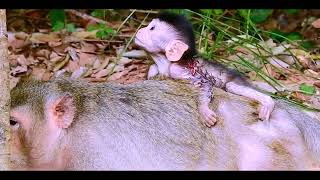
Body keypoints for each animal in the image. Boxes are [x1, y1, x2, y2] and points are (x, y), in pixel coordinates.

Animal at [134, 11, 274, 126]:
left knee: (231, 86)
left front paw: (203, 109)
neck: (165, 62)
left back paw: (268, 102)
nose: (140, 30)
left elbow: (205, 84)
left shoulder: (178, 69)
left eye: (152, 28)